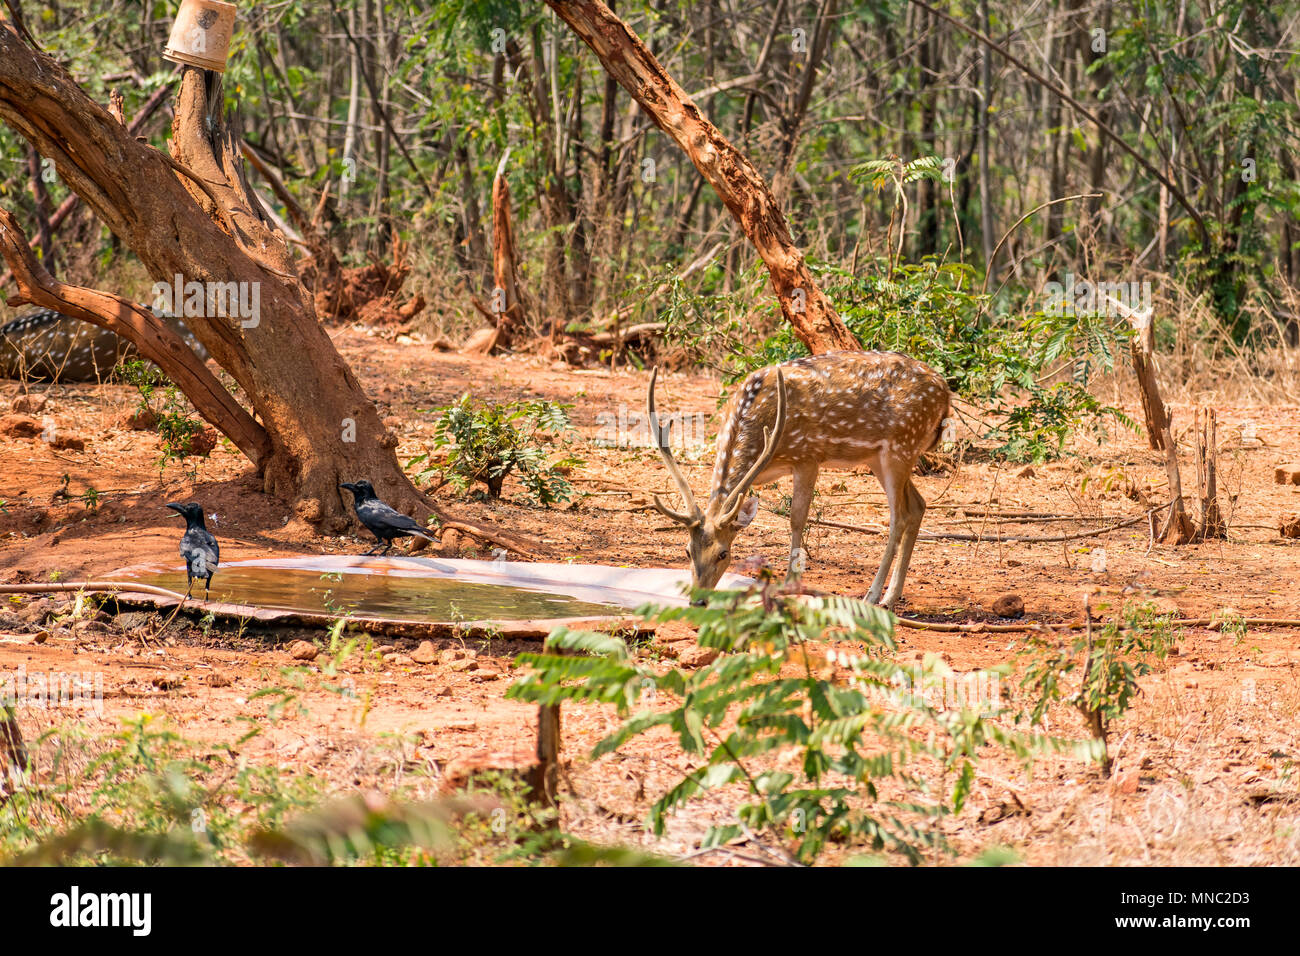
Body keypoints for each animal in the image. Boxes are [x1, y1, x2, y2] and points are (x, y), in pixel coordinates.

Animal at [647, 351, 951, 608]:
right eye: (687, 550)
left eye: (723, 553)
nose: (697, 601)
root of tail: (946, 393)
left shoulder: (807, 456)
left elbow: (796, 518)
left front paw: (790, 584)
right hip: (877, 457)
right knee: (918, 505)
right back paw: (893, 594)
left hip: (900, 445)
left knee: (898, 517)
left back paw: (876, 595)